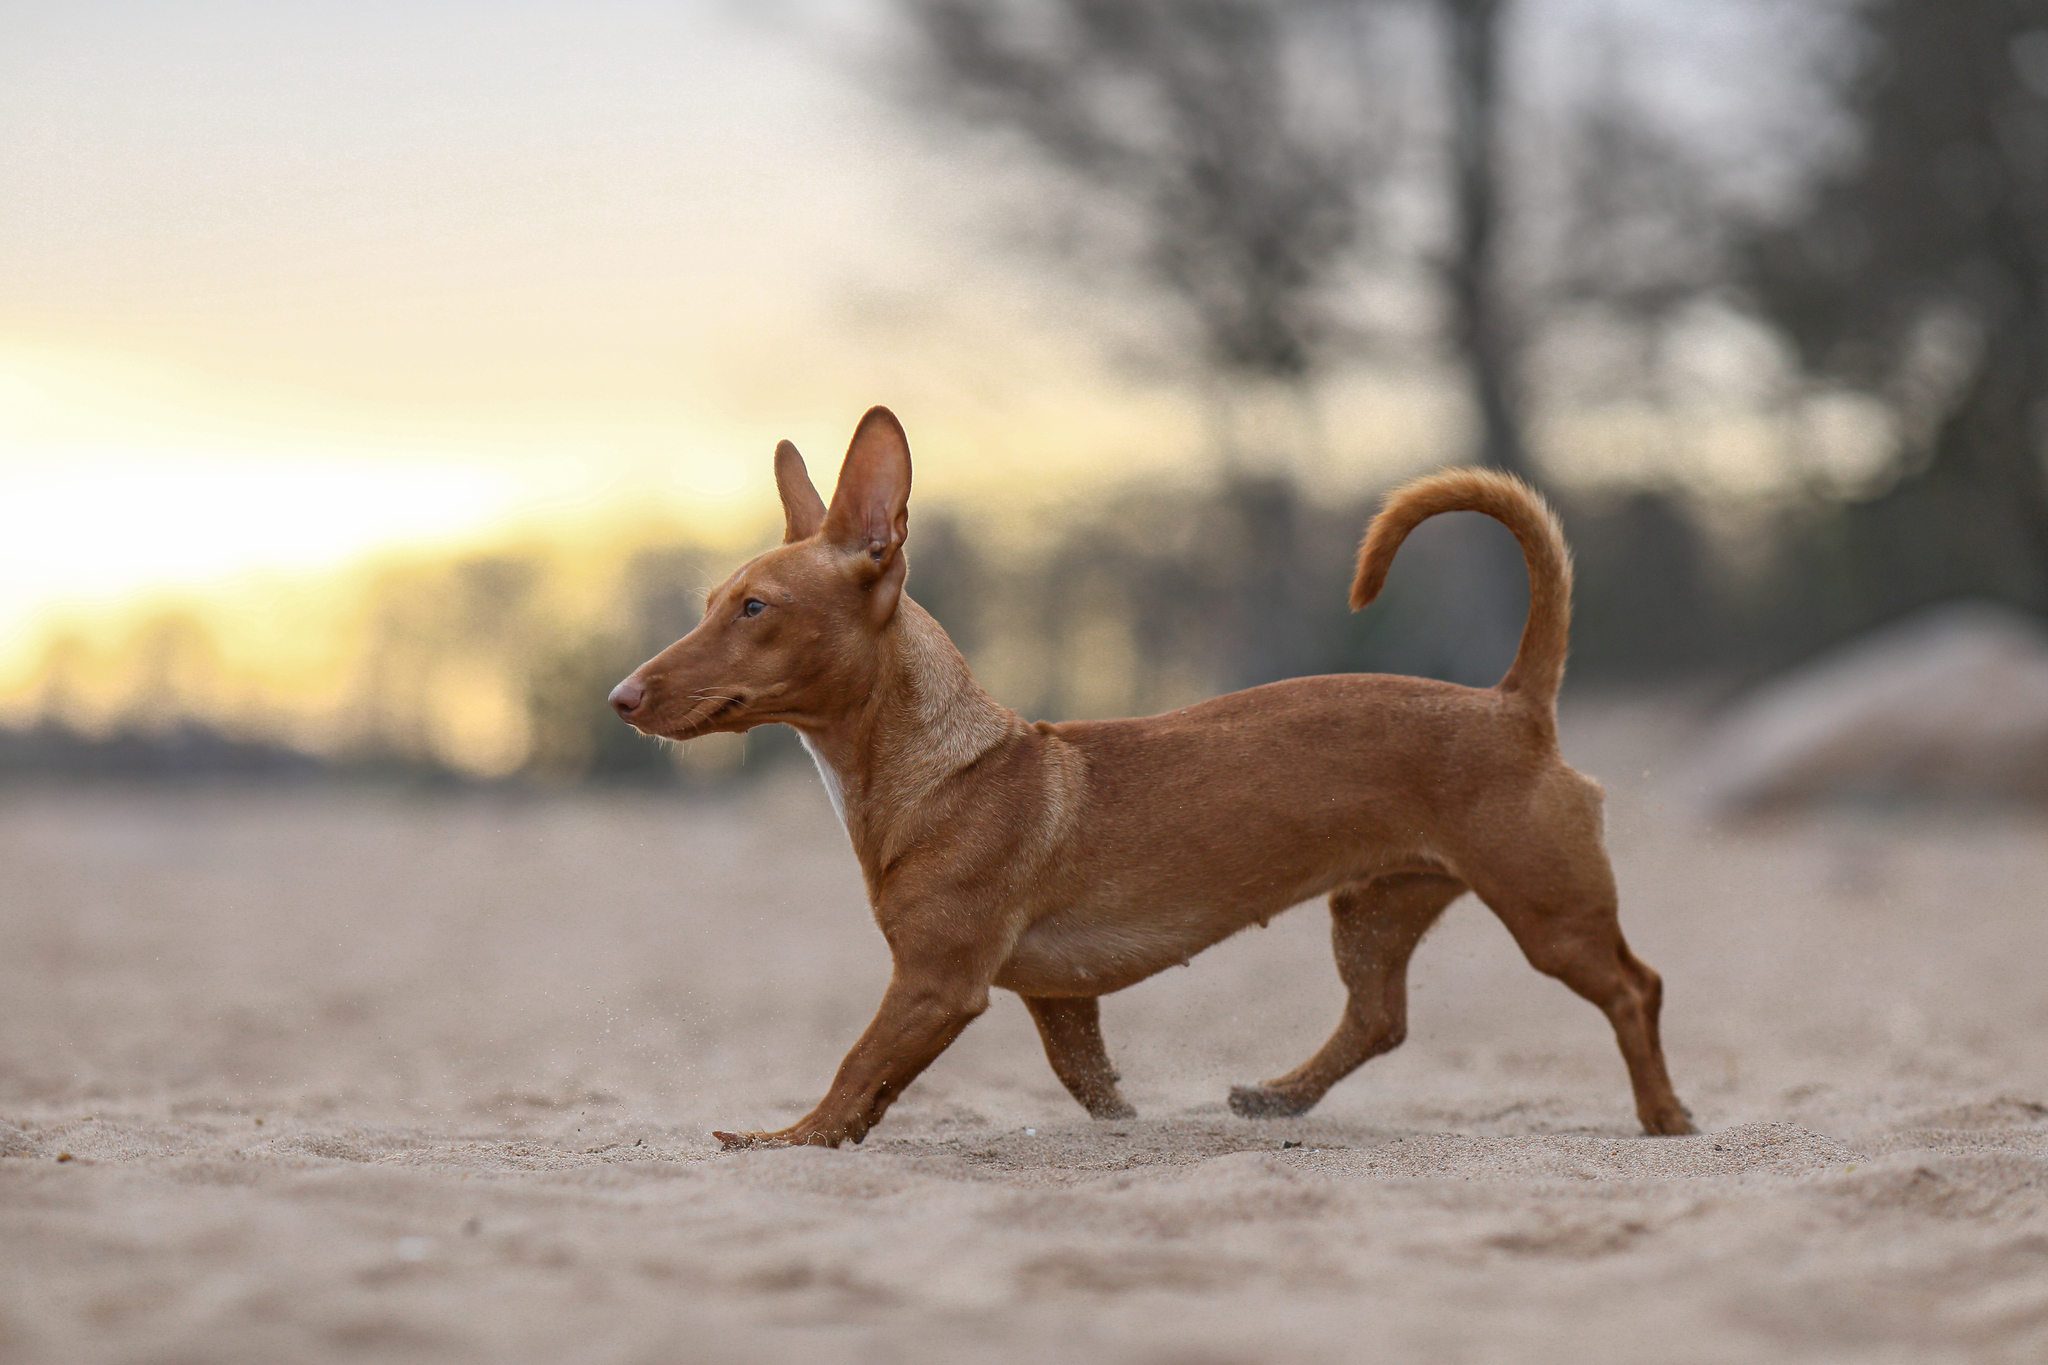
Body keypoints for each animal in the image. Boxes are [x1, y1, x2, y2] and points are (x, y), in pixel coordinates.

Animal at [606, 403, 1695, 1146]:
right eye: (713, 601)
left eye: (755, 607)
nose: (619, 696)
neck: (942, 766)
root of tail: (1513, 703)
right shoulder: (1055, 996)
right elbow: (1080, 1078)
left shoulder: (935, 982)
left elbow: (855, 1066)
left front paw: (788, 1138)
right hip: (1373, 910)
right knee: (1378, 1019)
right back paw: (1280, 1095)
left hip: (1550, 911)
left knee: (1635, 988)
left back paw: (1663, 1113)